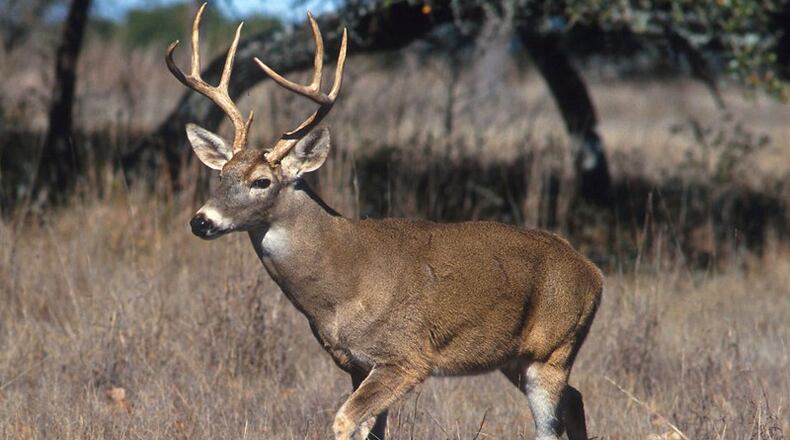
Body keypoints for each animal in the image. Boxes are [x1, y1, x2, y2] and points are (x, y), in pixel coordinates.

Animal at [166, 4, 603, 440]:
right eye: (221, 176)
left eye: (262, 181)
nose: (201, 221)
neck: (341, 284)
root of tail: (593, 273)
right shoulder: (355, 364)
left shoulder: (405, 357)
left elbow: (345, 420)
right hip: (515, 358)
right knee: (576, 398)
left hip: (553, 350)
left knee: (551, 423)